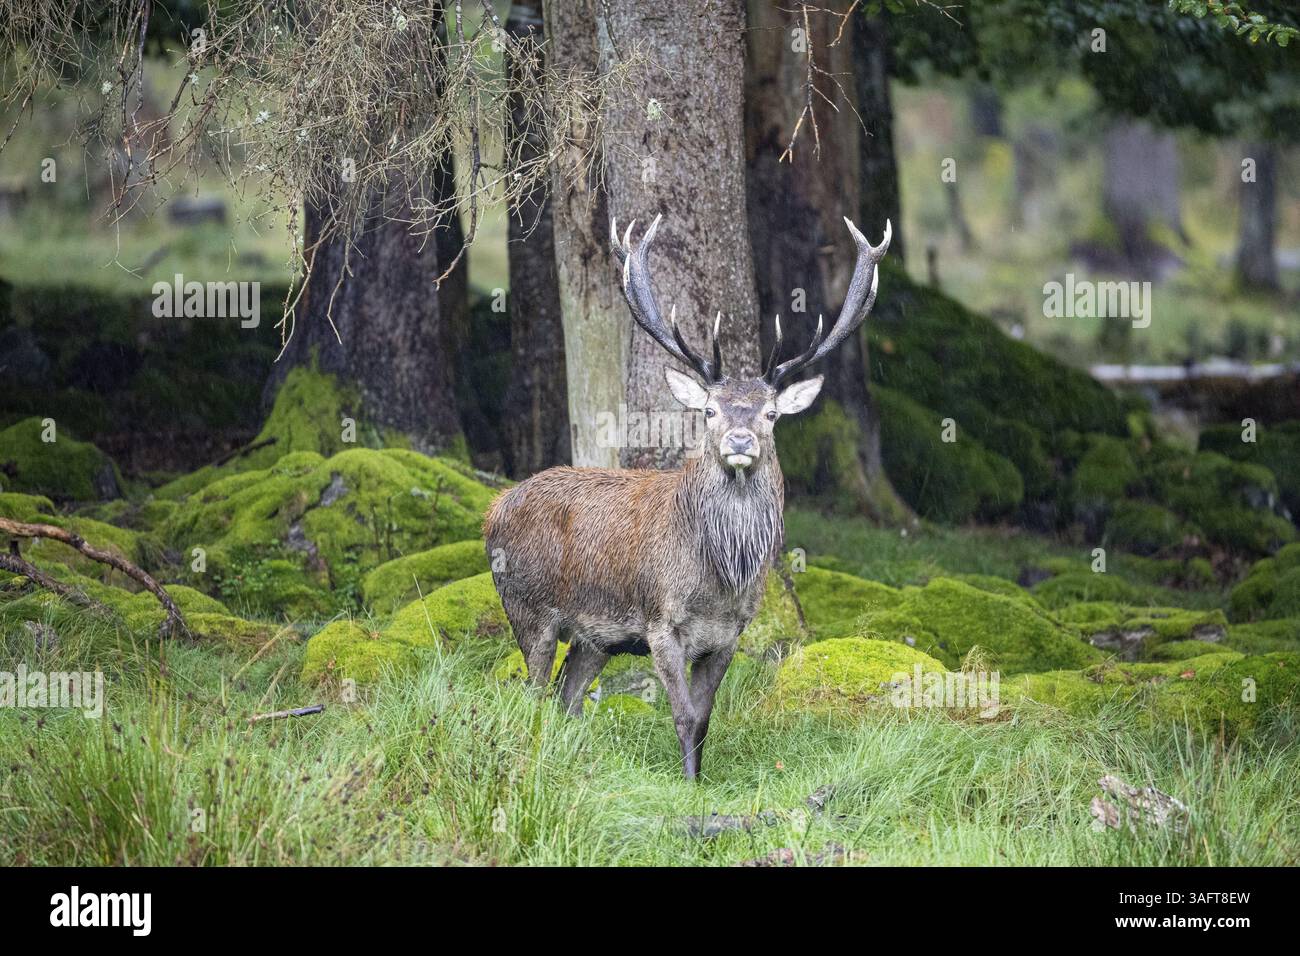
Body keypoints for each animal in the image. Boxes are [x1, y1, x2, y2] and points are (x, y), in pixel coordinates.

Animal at [483, 212, 891, 778]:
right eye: (710, 410)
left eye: (771, 414)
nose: (739, 441)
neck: (717, 580)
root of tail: (493, 509)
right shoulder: (661, 623)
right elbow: (681, 714)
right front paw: (687, 784)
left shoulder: (729, 636)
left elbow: (704, 718)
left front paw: (699, 780)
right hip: (528, 608)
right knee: (535, 691)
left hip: (596, 636)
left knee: (568, 694)